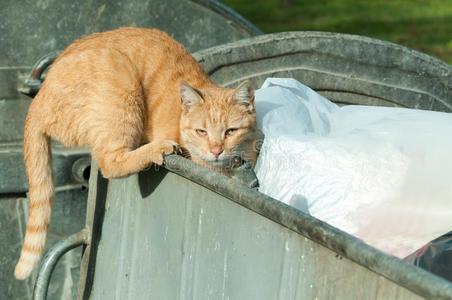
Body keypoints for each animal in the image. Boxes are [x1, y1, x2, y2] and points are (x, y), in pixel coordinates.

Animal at [15, 27, 256, 278]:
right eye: (201, 131)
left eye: (230, 131)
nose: (216, 150)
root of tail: (38, 101)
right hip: (122, 79)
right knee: (111, 163)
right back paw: (157, 148)